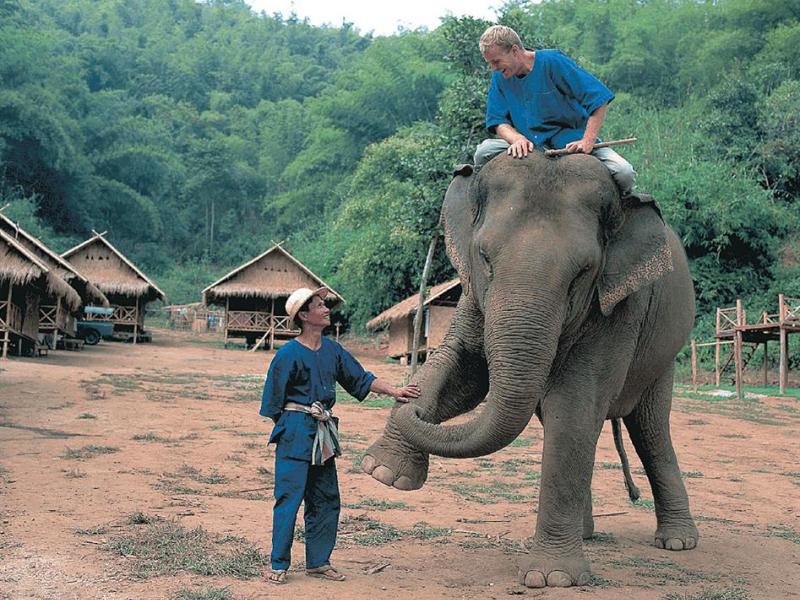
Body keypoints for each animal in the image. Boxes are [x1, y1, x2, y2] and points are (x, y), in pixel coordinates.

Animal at [361, 150, 699, 588]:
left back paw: (677, 542)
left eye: (581, 274)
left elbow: (574, 405)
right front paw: (384, 473)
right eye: (484, 258)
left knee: (649, 431)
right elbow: (465, 371)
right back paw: (587, 535)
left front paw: (551, 578)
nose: (412, 400)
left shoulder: (619, 312)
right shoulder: (473, 295)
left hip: (662, 357)